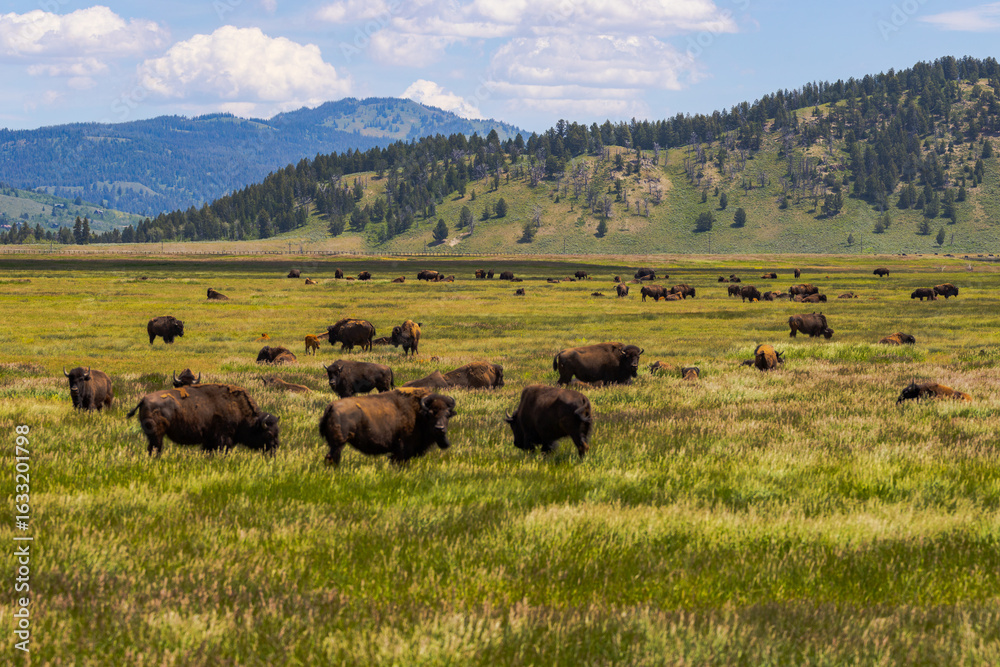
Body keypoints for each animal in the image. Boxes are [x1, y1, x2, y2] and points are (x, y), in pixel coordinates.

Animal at [127, 383, 280, 457]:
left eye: (277, 431)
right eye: (268, 434)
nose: (275, 448)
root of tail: (144, 399)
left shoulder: (209, 441)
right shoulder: (223, 439)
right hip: (156, 435)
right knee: (155, 448)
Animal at [319, 388, 456, 465]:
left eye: (447, 414)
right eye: (431, 413)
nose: (440, 428)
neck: (418, 413)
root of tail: (331, 406)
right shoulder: (402, 450)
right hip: (338, 444)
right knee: (332, 458)